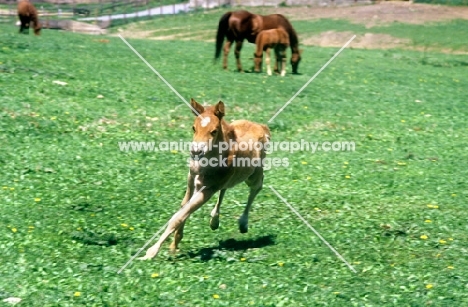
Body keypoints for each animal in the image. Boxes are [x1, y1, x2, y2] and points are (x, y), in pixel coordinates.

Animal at [138, 99, 270, 260]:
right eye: (193, 128)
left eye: (214, 131)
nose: (196, 151)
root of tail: (262, 127)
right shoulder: (191, 180)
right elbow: (183, 209)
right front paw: (174, 245)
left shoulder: (207, 190)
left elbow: (178, 216)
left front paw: (151, 252)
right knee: (225, 188)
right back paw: (214, 220)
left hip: (253, 175)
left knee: (257, 186)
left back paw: (243, 223)